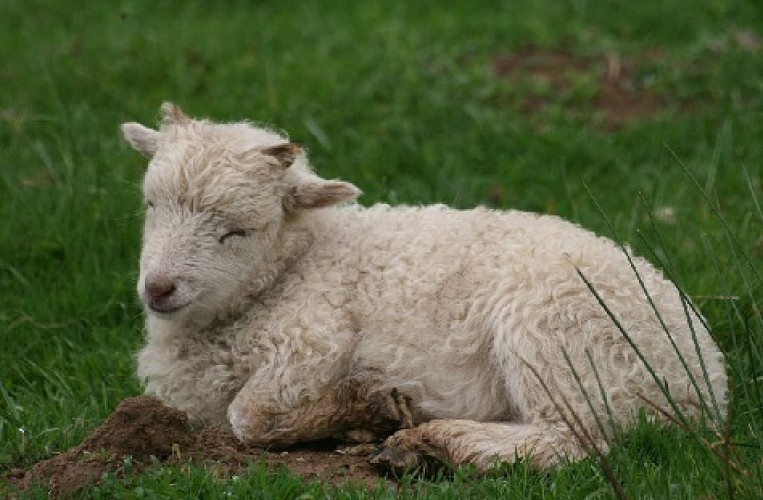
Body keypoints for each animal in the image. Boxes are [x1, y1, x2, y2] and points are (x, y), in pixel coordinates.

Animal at [121, 103, 727, 472]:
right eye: (150, 205)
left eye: (237, 232)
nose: (159, 288)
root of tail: (706, 387)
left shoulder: (313, 342)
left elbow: (247, 417)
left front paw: (365, 410)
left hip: (560, 341)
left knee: (577, 441)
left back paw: (436, 440)